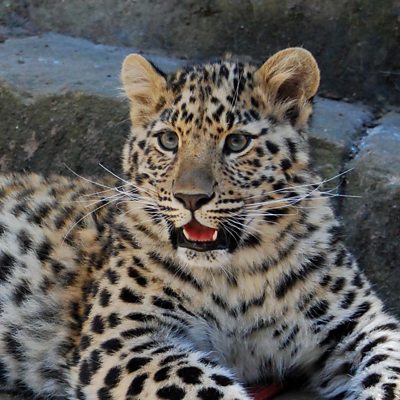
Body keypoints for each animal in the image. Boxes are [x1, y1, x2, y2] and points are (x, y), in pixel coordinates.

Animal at [0, 47, 399, 400]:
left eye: (236, 142)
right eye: (168, 140)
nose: (190, 199)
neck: (236, 278)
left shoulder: (360, 321)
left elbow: (390, 368)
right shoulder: (122, 338)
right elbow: (203, 385)